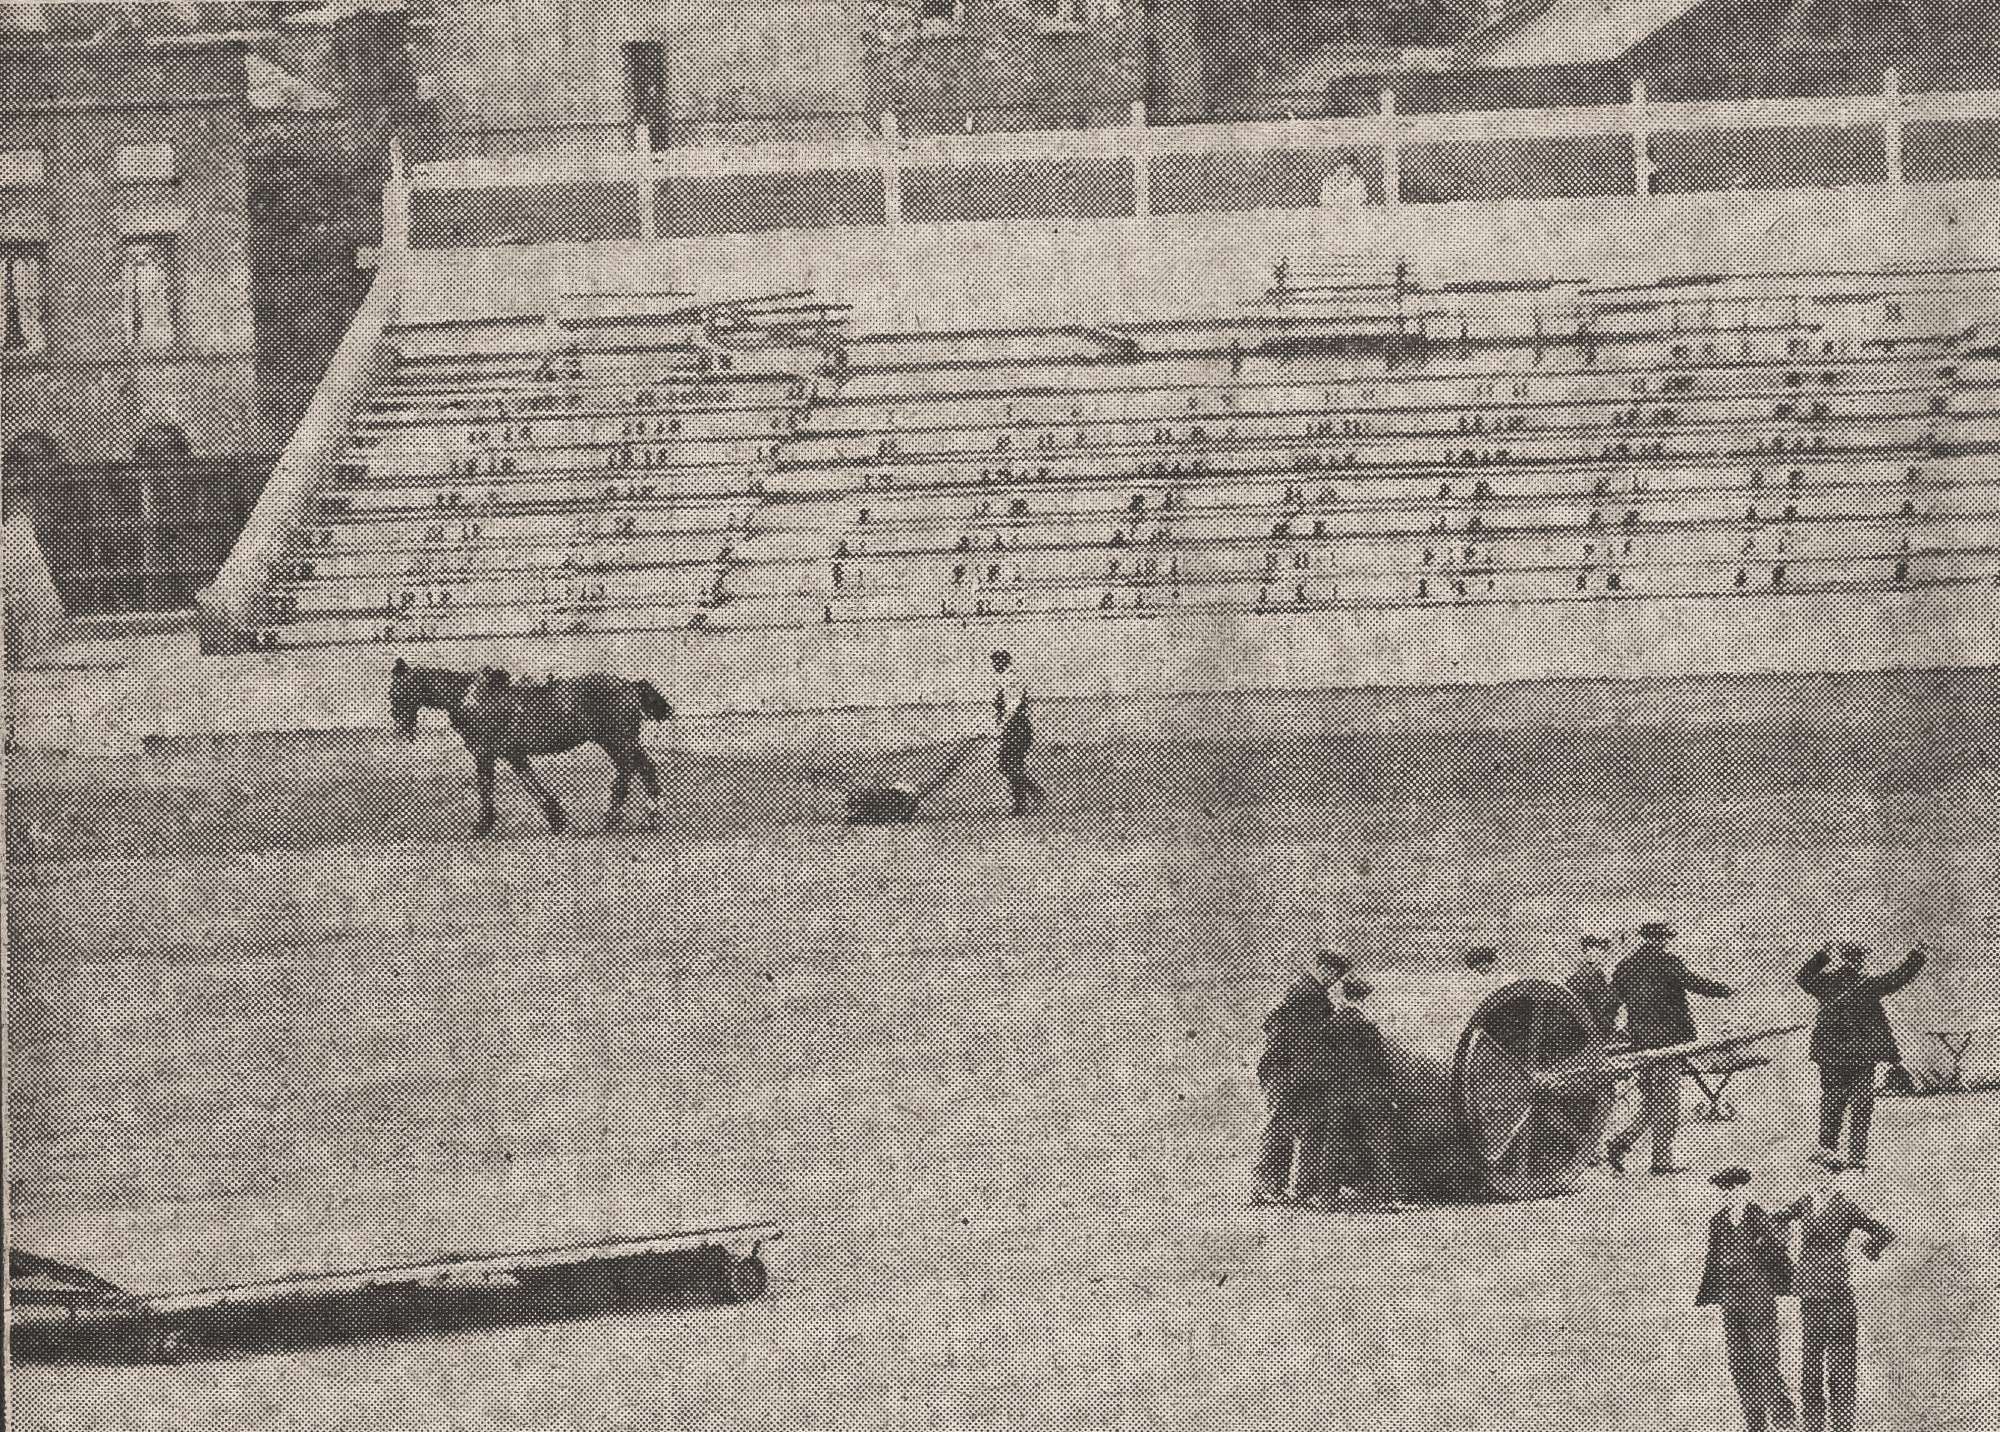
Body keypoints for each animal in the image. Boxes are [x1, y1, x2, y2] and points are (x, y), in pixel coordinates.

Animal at [386, 664, 676, 840]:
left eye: (396, 693)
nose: (400, 727)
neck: (468, 698)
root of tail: (630, 685)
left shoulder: (486, 754)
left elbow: (487, 787)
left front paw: (482, 826)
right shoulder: (514, 754)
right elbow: (530, 783)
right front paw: (557, 818)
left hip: (617, 741)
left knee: (631, 771)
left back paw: (618, 817)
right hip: (620, 742)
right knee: (642, 768)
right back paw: (646, 818)